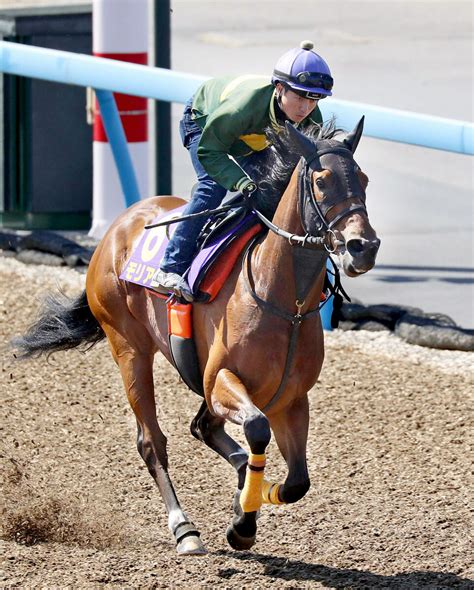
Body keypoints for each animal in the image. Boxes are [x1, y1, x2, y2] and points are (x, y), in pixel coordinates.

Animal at [12, 119, 382, 556]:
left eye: (363, 178)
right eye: (322, 181)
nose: (363, 247)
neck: (282, 301)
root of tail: (118, 226)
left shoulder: (291, 399)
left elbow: (296, 483)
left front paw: (249, 504)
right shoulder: (222, 379)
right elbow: (256, 429)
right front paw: (243, 521)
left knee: (203, 428)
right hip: (129, 349)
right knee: (152, 442)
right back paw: (184, 528)